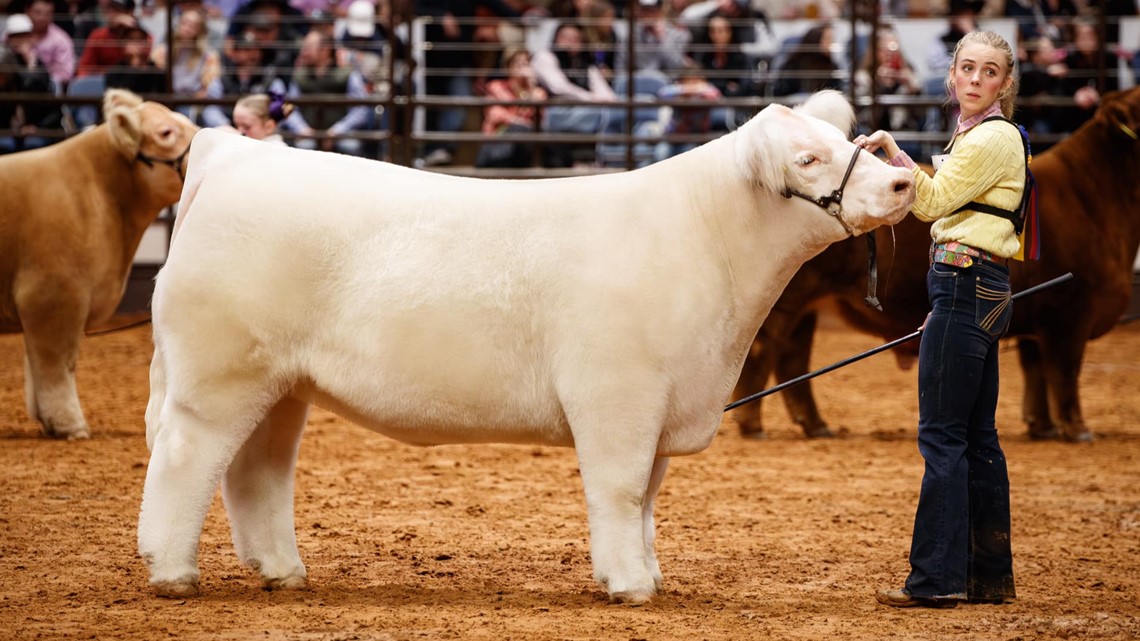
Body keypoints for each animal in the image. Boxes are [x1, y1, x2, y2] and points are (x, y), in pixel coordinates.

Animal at [729, 87, 1140, 442]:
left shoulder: (1040, 318)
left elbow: (1036, 370)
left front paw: (1043, 426)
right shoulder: (1069, 314)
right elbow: (1065, 374)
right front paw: (1078, 430)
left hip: (803, 302)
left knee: (792, 357)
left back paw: (814, 424)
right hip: (785, 300)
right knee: (764, 350)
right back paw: (751, 423)